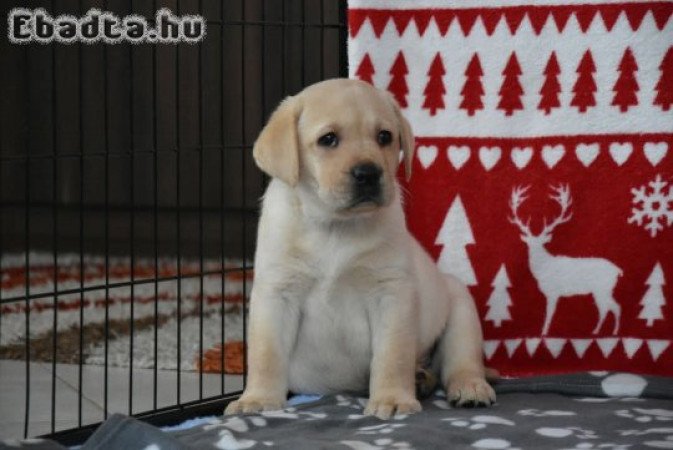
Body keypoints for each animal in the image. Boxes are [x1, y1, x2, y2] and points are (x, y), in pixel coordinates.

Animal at [226, 78, 494, 418]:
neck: (335, 227)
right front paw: (258, 399)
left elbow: (393, 355)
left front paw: (392, 398)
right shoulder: (277, 291)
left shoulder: (391, 293)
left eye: (385, 137)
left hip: (460, 305)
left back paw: (467, 387)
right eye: (328, 139)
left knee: (461, 361)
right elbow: (266, 354)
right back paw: (422, 378)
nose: (368, 173)